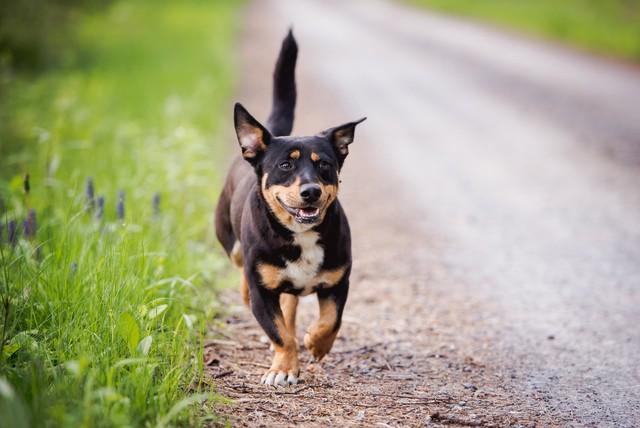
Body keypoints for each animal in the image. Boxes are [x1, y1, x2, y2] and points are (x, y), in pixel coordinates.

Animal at [215, 28, 364, 386]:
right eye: (285, 166)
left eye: (324, 164)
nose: (310, 191)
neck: (300, 234)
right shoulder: (262, 293)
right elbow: (279, 332)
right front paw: (283, 368)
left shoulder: (339, 281)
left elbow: (331, 320)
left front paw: (316, 343)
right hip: (232, 244)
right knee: (249, 284)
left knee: (292, 305)